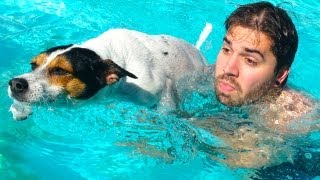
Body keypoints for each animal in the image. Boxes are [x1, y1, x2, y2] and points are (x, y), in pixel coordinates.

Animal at [8, 28, 208, 119]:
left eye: (60, 70)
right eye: (33, 65)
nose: (15, 83)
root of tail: (196, 50)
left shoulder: (161, 87)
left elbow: (166, 108)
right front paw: (21, 109)